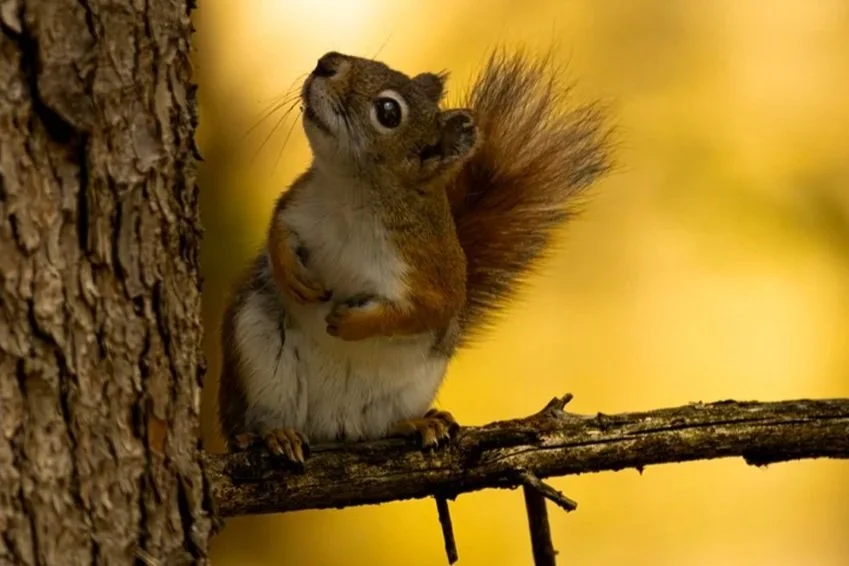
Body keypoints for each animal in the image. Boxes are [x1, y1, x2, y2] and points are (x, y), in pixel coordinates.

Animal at [217, 49, 611, 463]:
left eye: (389, 111)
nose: (328, 62)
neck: (351, 193)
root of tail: (333, 427)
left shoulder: (432, 267)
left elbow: (423, 311)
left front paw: (352, 324)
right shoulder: (296, 203)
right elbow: (277, 231)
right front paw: (291, 274)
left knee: (380, 425)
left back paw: (418, 423)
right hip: (258, 356)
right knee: (256, 420)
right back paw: (272, 435)